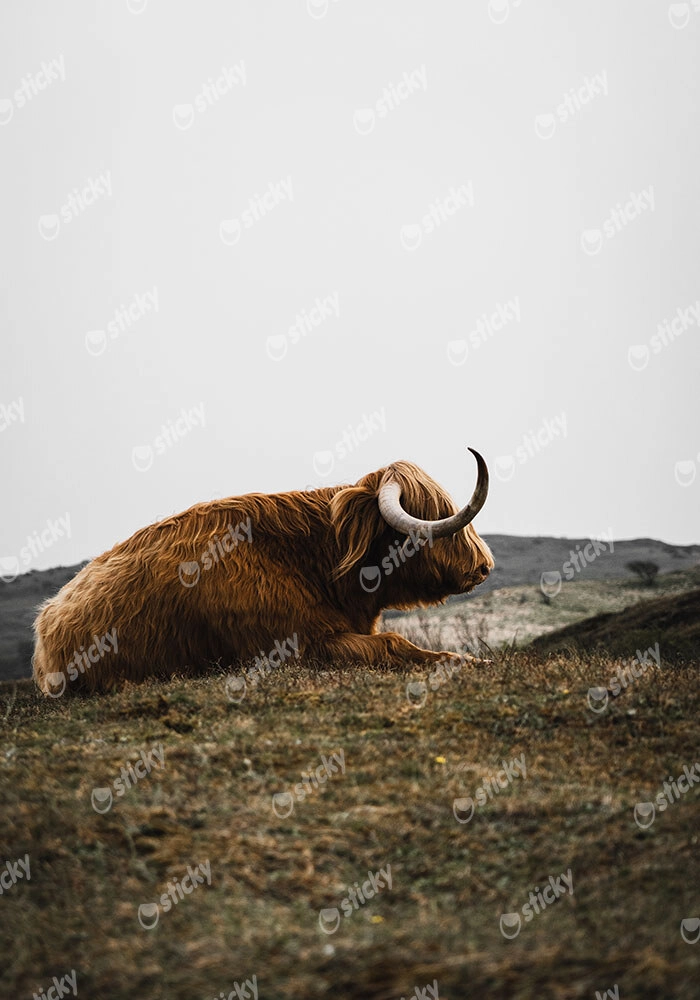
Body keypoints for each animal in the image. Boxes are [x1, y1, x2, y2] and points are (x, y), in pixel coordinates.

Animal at [32, 448, 493, 696]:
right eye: (433, 515)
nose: (484, 565)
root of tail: (48, 616)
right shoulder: (299, 648)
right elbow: (395, 645)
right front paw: (470, 661)